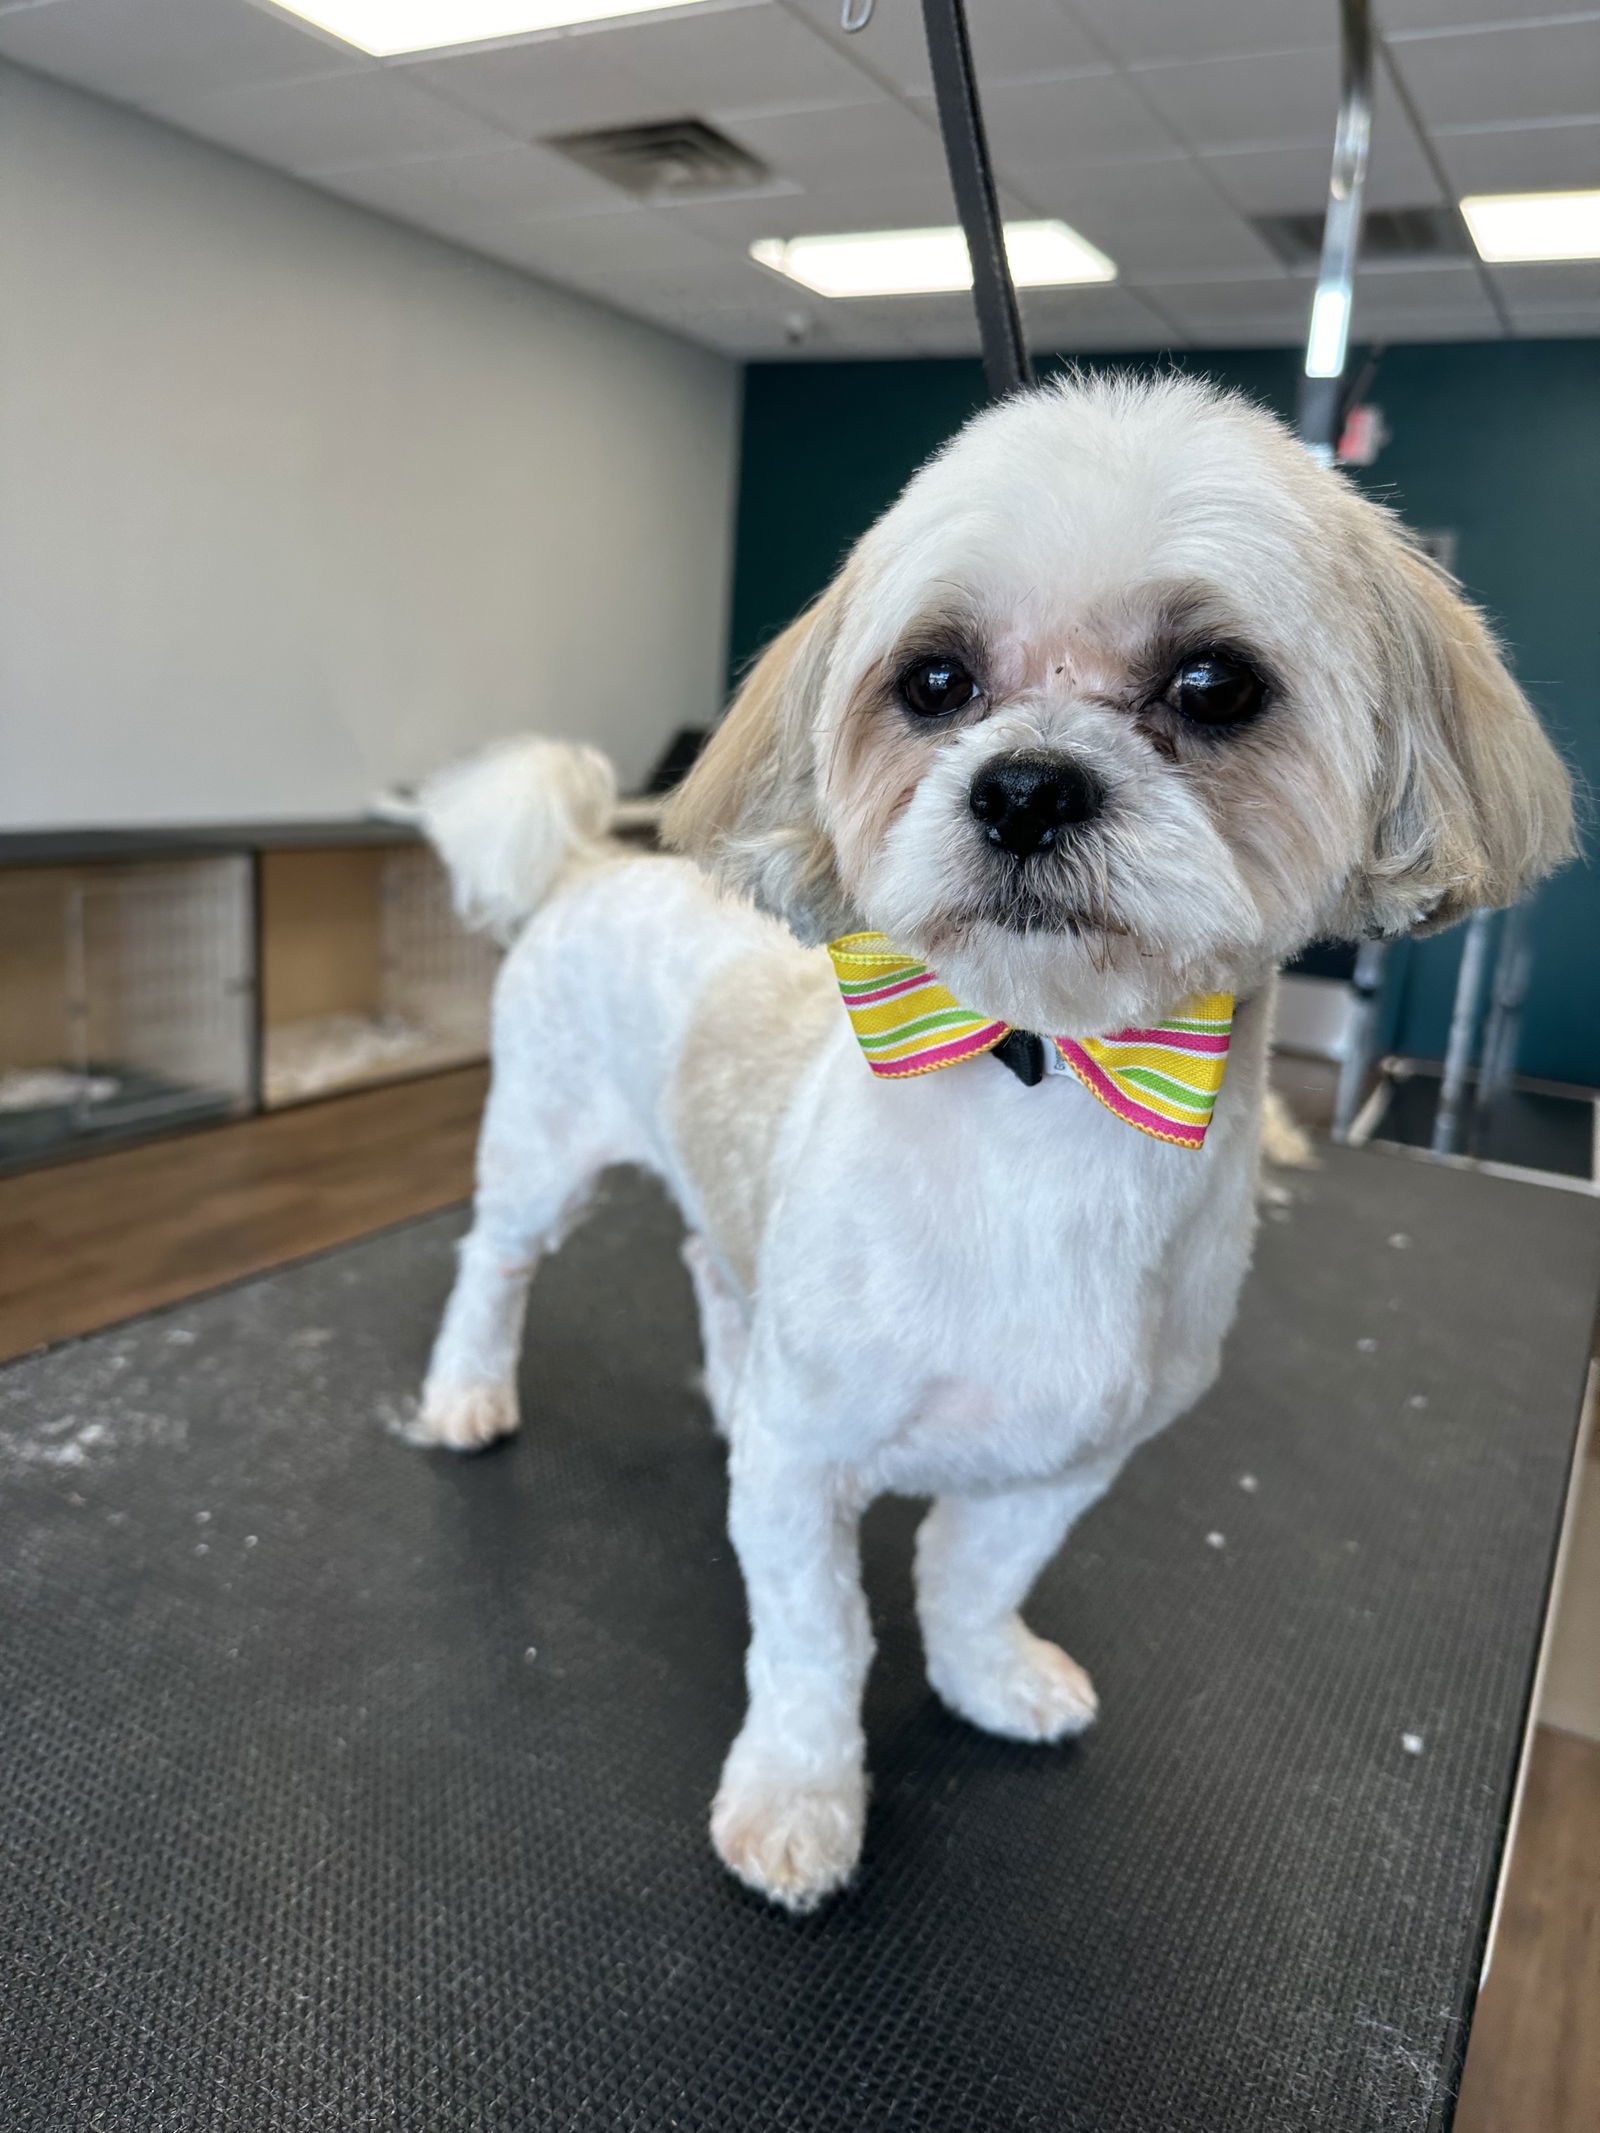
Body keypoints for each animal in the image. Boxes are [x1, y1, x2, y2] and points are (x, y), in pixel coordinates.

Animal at [407, 371, 1570, 1919]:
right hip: (540, 1147)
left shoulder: (1071, 1456)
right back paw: (469, 1391)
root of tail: (601, 860)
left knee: (714, 1266)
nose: (1023, 788)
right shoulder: (804, 1463)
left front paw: (987, 1678)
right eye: (936, 682)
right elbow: (817, 1641)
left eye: (1214, 686)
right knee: (497, 1265)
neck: (1051, 1088)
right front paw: (797, 1801)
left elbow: (973, 1577)